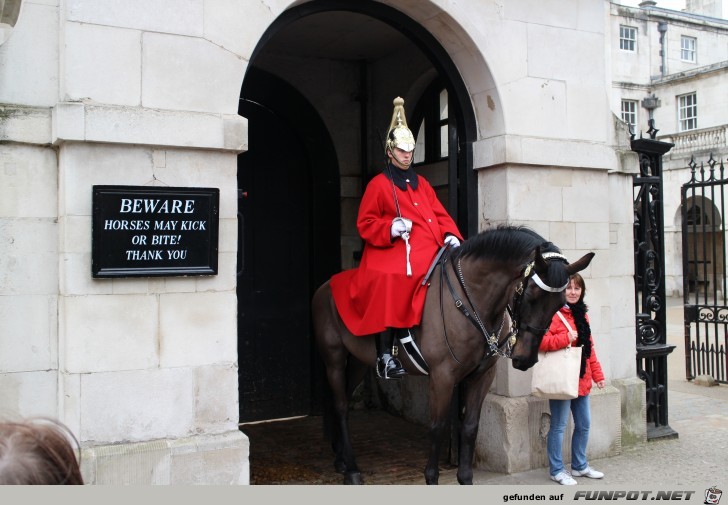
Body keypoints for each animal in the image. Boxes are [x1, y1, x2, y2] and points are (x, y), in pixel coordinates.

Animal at [310, 225, 596, 484]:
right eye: (530, 296)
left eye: (560, 304)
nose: (524, 359)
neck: (474, 303)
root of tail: (326, 285)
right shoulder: (442, 377)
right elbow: (437, 428)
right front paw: (431, 477)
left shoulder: (482, 375)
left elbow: (469, 427)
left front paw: (465, 478)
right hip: (334, 359)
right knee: (341, 405)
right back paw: (351, 470)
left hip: (359, 361)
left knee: (341, 400)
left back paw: (341, 460)